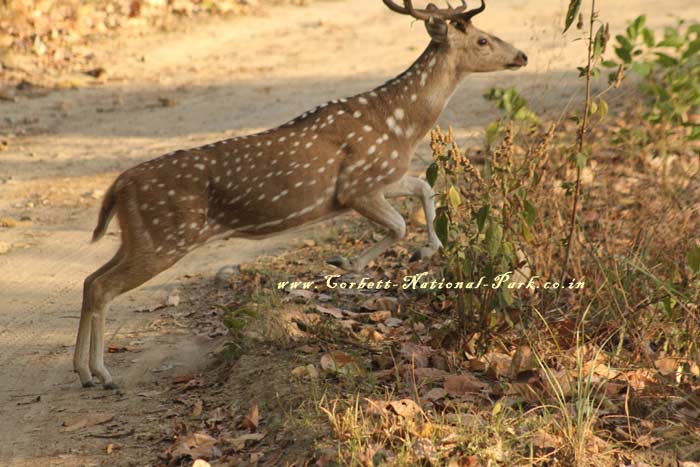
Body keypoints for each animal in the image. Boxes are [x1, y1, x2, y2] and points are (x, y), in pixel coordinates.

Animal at [75, 0, 524, 388]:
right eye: (482, 40)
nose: (521, 55)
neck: (400, 125)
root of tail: (119, 185)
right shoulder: (357, 185)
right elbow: (398, 224)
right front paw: (347, 262)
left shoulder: (384, 174)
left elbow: (425, 188)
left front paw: (428, 248)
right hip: (165, 237)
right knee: (102, 287)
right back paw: (103, 374)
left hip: (139, 237)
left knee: (89, 279)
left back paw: (84, 372)